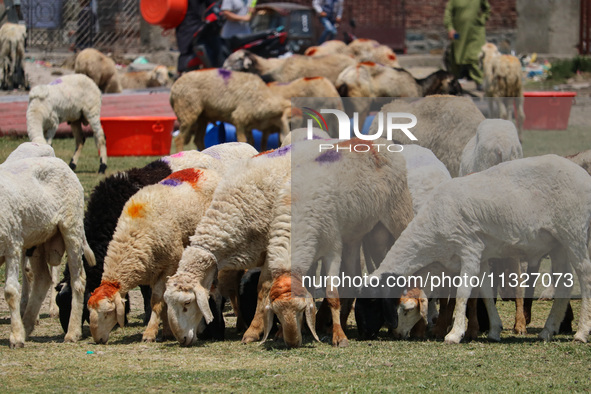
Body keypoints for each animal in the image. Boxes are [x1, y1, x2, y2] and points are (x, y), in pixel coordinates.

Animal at [0, 142, 95, 348]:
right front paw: (19, 332)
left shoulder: (12, 244)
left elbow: (11, 291)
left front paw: (16, 337)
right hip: (38, 240)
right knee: (42, 278)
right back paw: (27, 324)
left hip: (72, 228)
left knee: (78, 280)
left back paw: (72, 332)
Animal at [89, 168, 223, 344]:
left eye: (107, 312)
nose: (97, 340)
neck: (134, 234)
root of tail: (204, 170)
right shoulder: (153, 267)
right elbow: (163, 301)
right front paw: (166, 331)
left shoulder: (170, 264)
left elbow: (157, 301)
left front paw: (150, 332)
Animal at [368, 155, 591, 344]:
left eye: (406, 310)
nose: (397, 334)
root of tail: (583, 175)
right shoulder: (481, 256)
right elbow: (484, 290)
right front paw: (494, 330)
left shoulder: (469, 248)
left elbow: (463, 292)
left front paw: (455, 334)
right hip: (557, 243)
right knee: (564, 282)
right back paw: (548, 330)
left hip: (574, 233)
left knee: (585, 274)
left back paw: (581, 333)